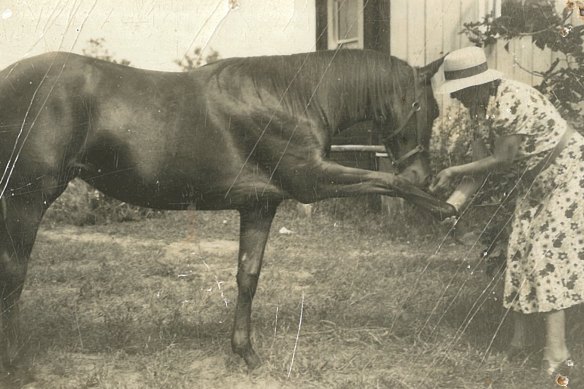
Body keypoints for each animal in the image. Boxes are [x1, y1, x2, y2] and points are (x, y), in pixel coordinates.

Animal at [0, 49, 452, 370]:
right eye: (424, 108)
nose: (422, 173)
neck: (291, 96)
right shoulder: (311, 181)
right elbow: (389, 182)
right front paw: (443, 207)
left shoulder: (260, 205)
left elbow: (247, 277)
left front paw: (246, 353)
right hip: (26, 200)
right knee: (14, 275)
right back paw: (19, 364)